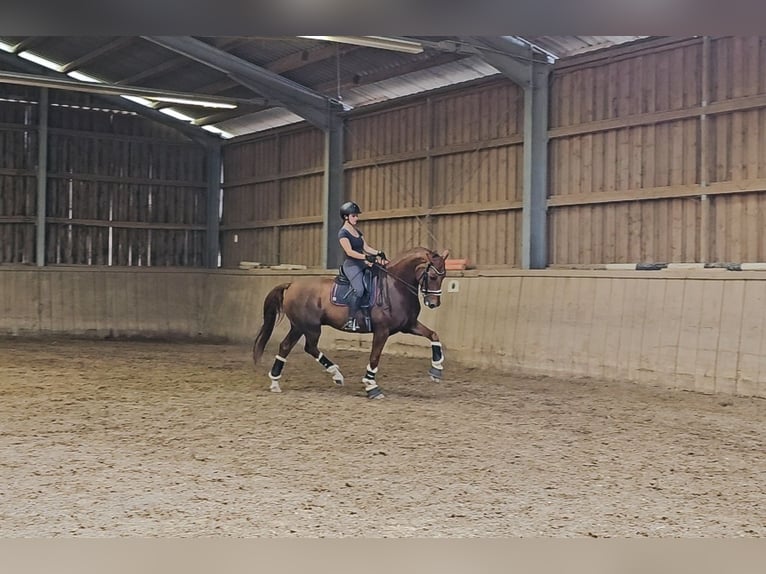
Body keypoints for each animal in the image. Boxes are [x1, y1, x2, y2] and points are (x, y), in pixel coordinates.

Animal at [254, 248, 450, 400]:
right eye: (433, 276)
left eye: (444, 276)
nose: (433, 303)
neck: (395, 286)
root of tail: (291, 285)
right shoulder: (382, 331)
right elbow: (374, 357)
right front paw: (371, 387)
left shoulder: (409, 325)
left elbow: (433, 335)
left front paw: (436, 370)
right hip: (310, 327)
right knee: (310, 347)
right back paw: (336, 374)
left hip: (299, 327)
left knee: (286, 346)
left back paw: (275, 382)